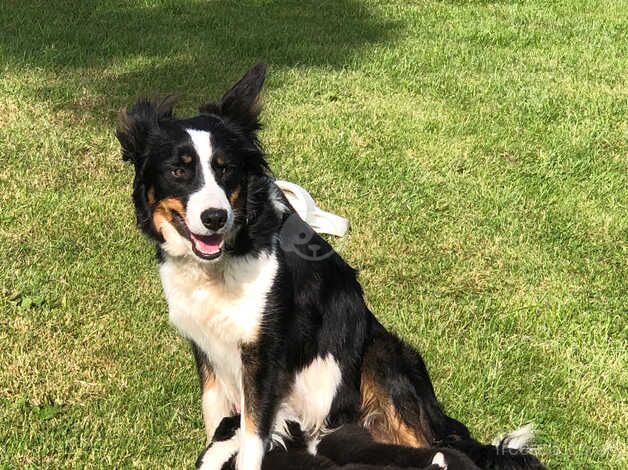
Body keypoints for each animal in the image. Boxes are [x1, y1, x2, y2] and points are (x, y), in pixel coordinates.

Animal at [116, 63, 544, 470]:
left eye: (226, 169)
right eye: (178, 170)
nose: (215, 218)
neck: (226, 261)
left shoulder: (265, 356)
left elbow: (251, 441)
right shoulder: (207, 349)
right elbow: (215, 419)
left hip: (382, 356)